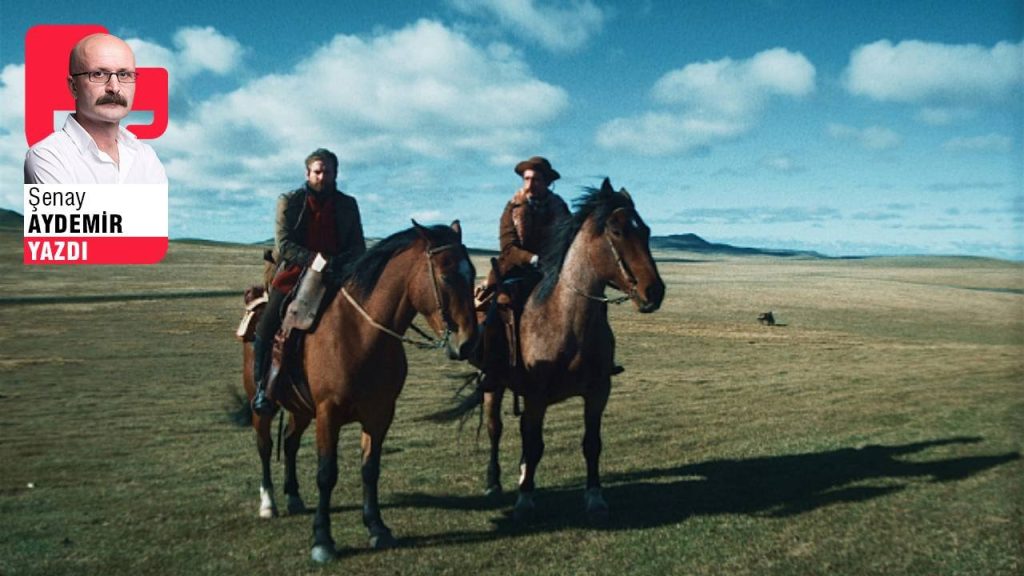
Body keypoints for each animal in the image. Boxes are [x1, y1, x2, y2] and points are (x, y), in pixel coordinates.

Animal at [241, 219, 477, 561]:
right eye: (446, 275)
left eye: (472, 273)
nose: (469, 343)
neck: (361, 333)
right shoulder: (328, 412)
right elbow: (326, 474)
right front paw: (322, 540)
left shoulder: (379, 414)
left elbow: (370, 469)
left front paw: (377, 528)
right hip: (264, 404)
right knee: (265, 444)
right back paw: (269, 503)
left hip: (301, 408)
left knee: (289, 441)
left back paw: (294, 497)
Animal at [452, 178, 659, 520]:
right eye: (617, 231)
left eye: (645, 230)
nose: (655, 291)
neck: (567, 321)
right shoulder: (536, 395)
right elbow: (533, 443)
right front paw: (524, 499)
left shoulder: (598, 392)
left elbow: (591, 443)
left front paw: (595, 498)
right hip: (492, 383)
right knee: (496, 428)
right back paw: (494, 482)